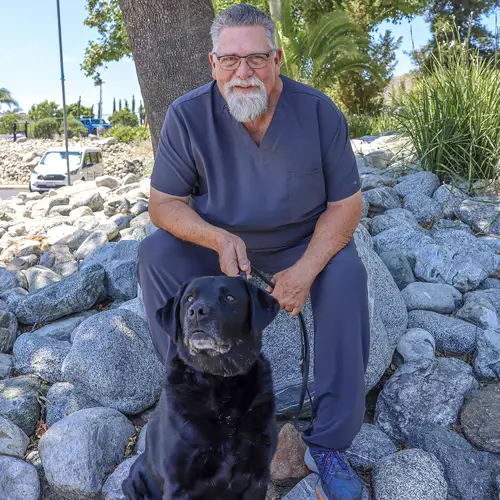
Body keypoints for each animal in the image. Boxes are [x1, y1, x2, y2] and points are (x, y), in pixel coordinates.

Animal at [121, 276, 282, 500]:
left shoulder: (258, 477)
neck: (219, 381)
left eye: (230, 297)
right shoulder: (178, 485)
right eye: (189, 299)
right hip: (134, 484)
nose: (197, 310)